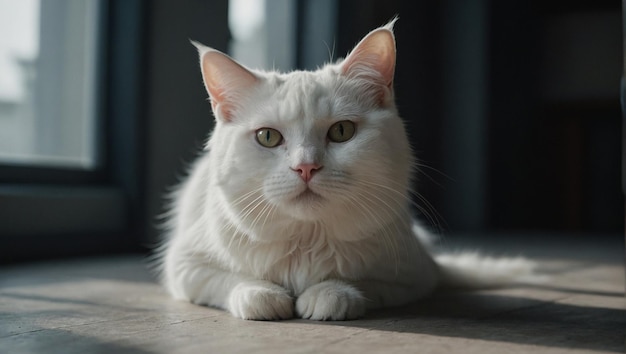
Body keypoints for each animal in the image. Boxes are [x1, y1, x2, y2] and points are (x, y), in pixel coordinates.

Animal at [156, 21, 532, 320]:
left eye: (341, 132)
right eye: (267, 137)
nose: (306, 167)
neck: (307, 241)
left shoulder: (412, 277)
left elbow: (356, 281)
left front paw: (327, 296)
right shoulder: (185, 266)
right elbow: (234, 281)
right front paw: (266, 297)